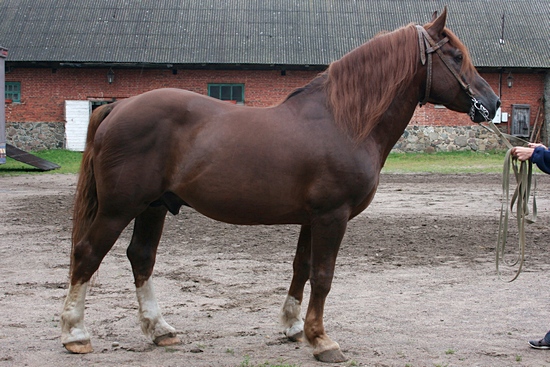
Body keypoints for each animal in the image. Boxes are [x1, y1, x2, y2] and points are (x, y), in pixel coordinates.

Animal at [62, 10, 502, 364]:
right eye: (456, 56)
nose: (493, 103)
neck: (342, 122)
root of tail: (118, 105)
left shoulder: (312, 218)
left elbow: (301, 267)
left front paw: (293, 327)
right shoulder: (332, 216)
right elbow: (323, 274)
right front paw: (322, 340)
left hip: (153, 206)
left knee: (141, 257)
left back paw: (160, 330)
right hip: (120, 208)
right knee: (88, 253)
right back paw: (75, 334)